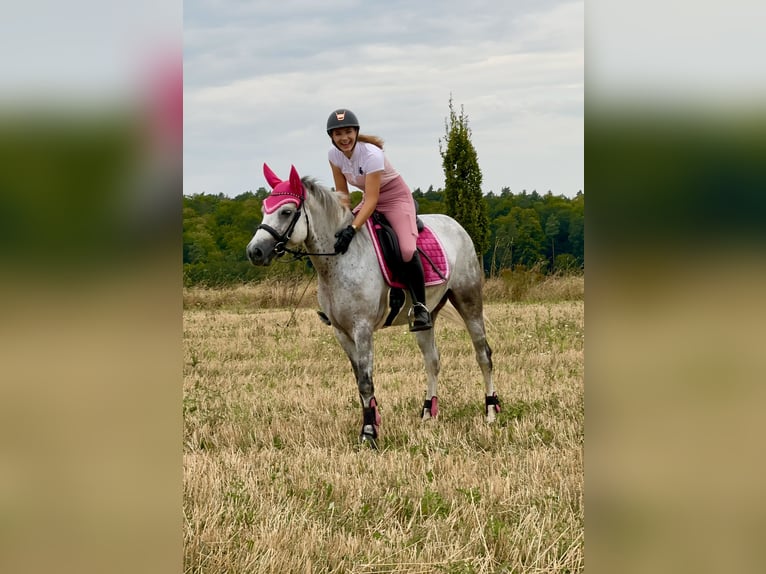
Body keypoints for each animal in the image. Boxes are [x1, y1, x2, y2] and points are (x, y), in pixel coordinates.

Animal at [243, 164, 500, 448]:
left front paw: (368, 434)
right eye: (264, 208)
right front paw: (372, 421)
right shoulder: (342, 332)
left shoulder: (362, 328)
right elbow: (359, 380)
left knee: (483, 354)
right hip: (426, 316)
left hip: (469, 300)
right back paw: (427, 414)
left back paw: (490, 411)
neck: (339, 259)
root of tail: (456, 224)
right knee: (432, 360)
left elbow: (366, 382)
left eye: (286, 211)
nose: (254, 252)